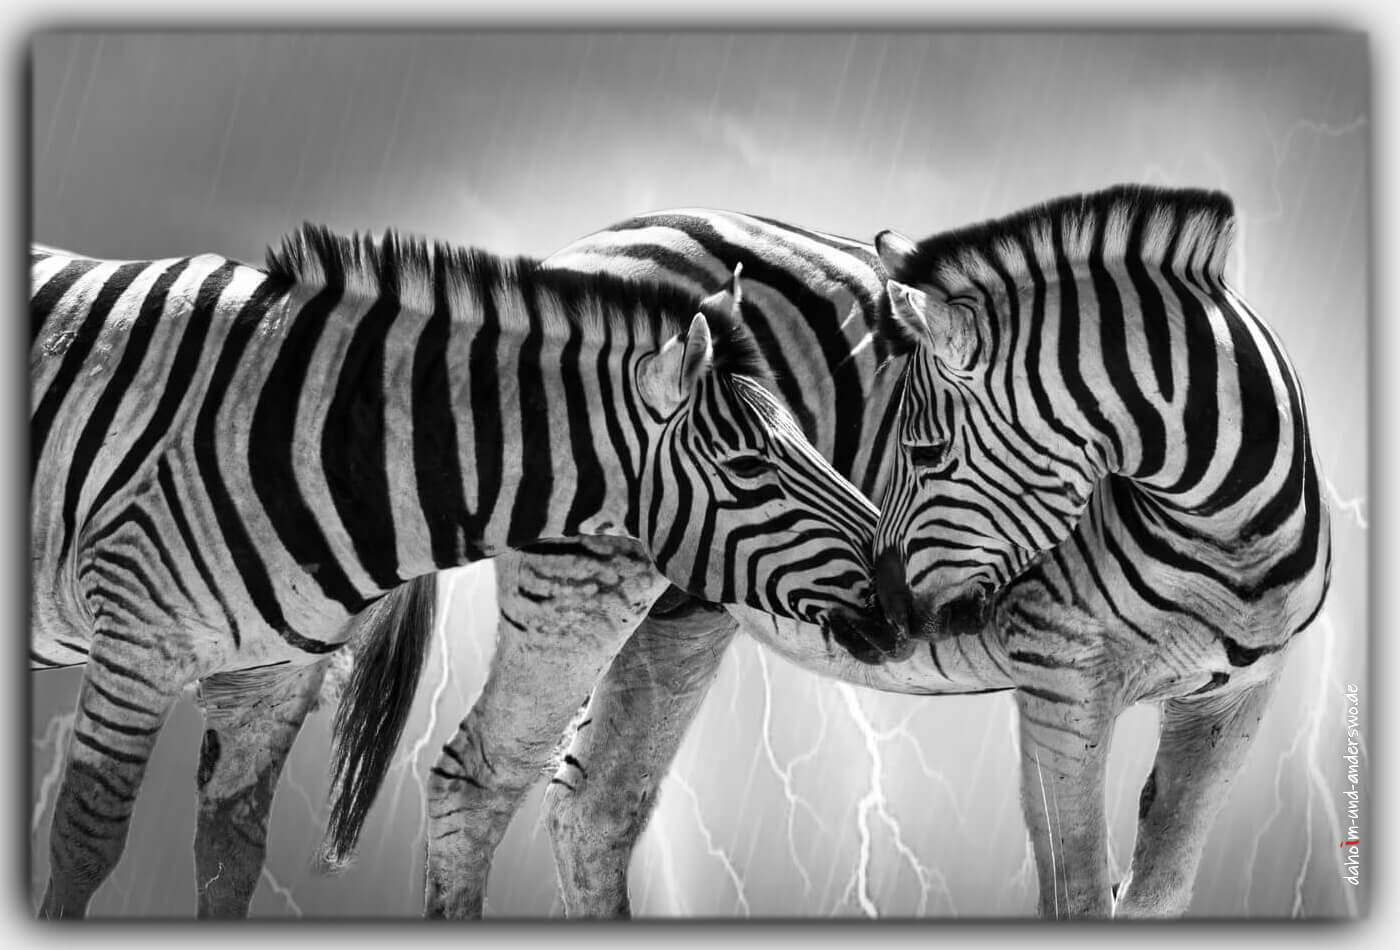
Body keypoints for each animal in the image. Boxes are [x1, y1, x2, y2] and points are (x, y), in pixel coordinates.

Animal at [28, 225, 884, 918]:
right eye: (748, 468)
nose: (902, 605)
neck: (327, 442)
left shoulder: (269, 680)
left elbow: (230, 854)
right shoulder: (136, 646)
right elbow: (84, 839)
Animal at [866, 184, 1332, 917]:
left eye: (926, 452)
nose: (882, 609)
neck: (1234, 548)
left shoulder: (1239, 698)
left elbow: (1157, 891)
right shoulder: (1057, 679)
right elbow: (1080, 896)